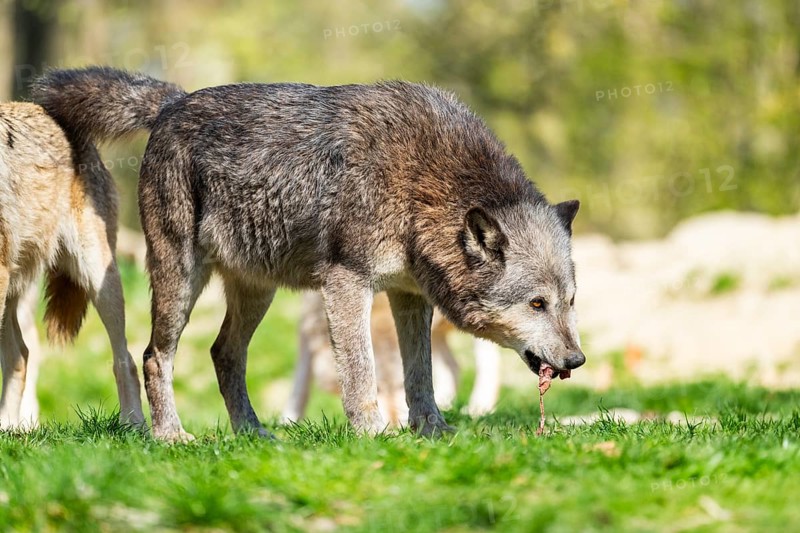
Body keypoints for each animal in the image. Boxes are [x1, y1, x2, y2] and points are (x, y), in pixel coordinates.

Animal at [33, 67, 584, 441]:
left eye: (569, 302)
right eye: (537, 304)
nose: (577, 359)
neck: (424, 180)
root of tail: (174, 102)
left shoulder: (410, 297)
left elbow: (420, 376)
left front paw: (433, 432)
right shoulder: (346, 283)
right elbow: (361, 371)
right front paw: (374, 434)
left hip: (258, 293)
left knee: (223, 354)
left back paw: (253, 435)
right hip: (181, 281)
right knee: (153, 355)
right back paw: (171, 436)